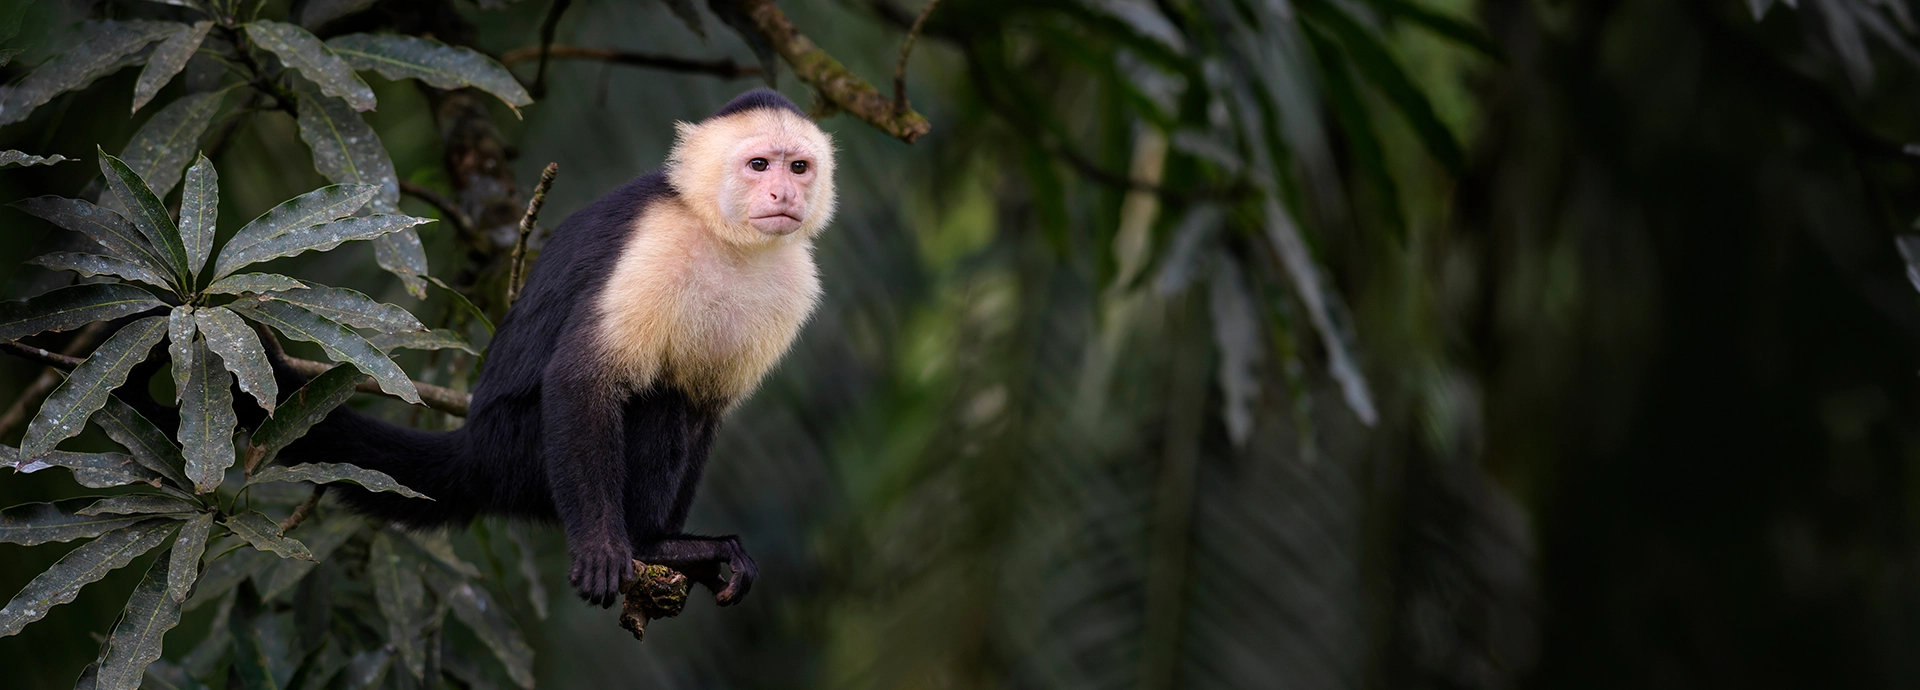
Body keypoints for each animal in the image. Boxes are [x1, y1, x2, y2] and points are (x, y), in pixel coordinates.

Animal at [267, 88, 835, 608]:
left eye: (798, 167)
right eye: (758, 165)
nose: (784, 194)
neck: (724, 236)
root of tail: (476, 448)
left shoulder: (795, 283)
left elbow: (707, 406)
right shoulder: (658, 242)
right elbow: (583, 380)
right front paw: (607, 547)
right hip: (522, 453)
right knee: (658, 400)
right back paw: (652, 544)